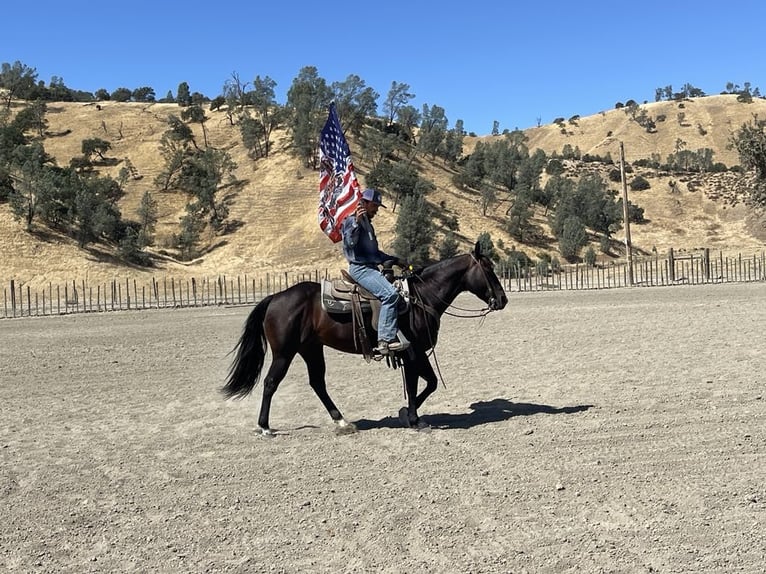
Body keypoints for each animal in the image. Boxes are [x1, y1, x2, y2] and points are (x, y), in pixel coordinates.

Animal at [221, 241, 508, 435]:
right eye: (488, 269)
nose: (503, 299)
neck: (421, 297)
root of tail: (274, 298)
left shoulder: (414, 353)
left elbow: (429, 383)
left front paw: (406, 414)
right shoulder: (412, 351)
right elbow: (418, 384)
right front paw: (414, 418)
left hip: (311, 348)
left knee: (317, 383)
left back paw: (342, 421)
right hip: (284, 352)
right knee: (271, 382)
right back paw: (265, 427)